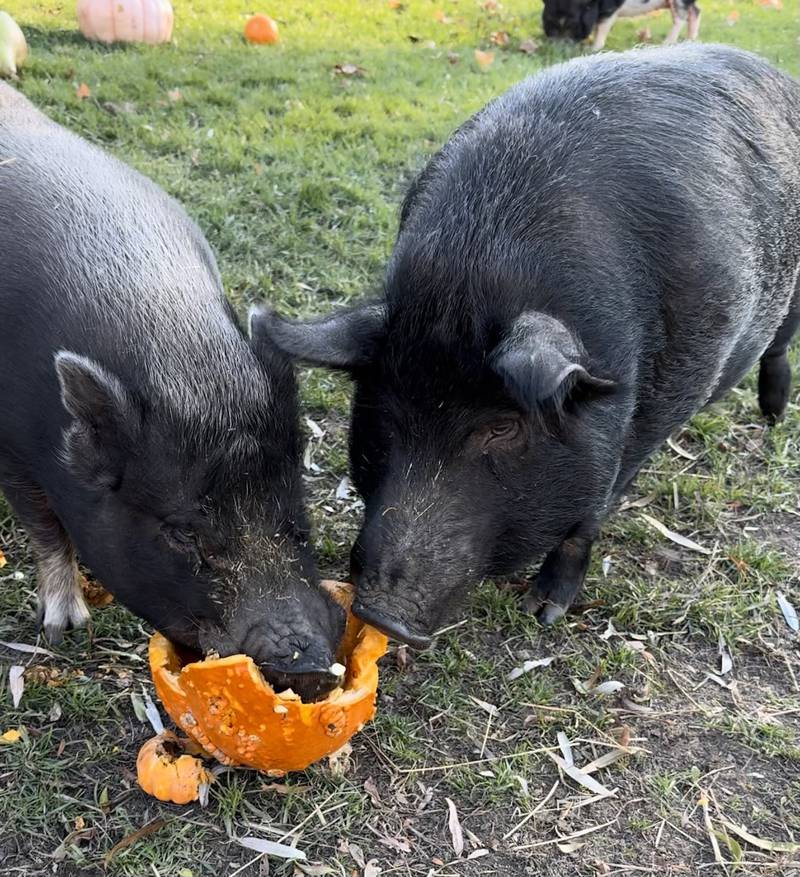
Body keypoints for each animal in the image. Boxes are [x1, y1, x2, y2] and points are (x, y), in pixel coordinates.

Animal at [0, 80, 344, 700]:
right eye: (183, 533)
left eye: (296, 518)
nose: (307, 661)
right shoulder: (12, 449)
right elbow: (44, 525)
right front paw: (65, 628)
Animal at [255, 46, 800, 652]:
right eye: (387, 416)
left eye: (502, 427)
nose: (383, 615)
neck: (474, 274)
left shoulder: (654, 413)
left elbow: (591, 512)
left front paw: (544, 613)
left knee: (779, 347)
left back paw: (774, 414)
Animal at [544, 0, 700, 51]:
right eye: (549, 23)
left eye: (573, 26)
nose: (557, 50)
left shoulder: (611, 8)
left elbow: (602, 26)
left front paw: (594, 49)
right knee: (696, 12)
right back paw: (690, 40)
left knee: (680, 17)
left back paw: (667, 43)